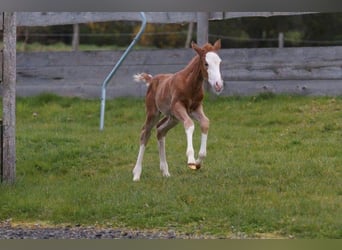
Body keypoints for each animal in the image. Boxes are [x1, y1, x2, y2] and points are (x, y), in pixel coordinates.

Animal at [132, 40, 223, 182]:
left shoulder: (196, 108)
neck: (190, 84)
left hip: (172, 118)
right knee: (145, 133)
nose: (219, 85)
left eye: (219, 62)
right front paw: (191, 160)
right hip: (154, 112)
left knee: (160, 130)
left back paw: (165, 171)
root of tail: (152, 80)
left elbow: (205, 122)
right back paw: (136, 174)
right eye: (206, 63)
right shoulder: (178, 106)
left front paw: (198, 161)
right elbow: (190, 124)